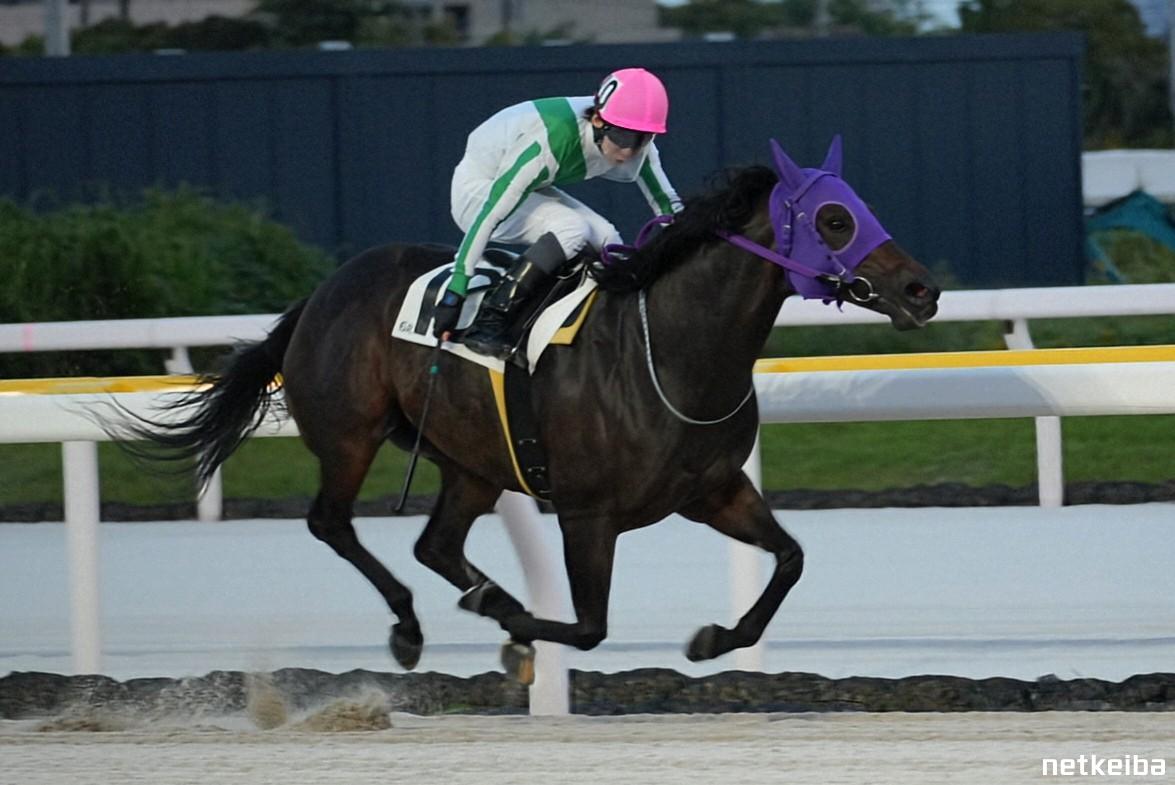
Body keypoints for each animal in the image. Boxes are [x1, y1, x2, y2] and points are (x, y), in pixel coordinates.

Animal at [121, 137, 940, 682]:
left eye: (860, 210)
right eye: (834, 220)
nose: (921, 290)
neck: (673, 352)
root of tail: (319, 294)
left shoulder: (712, 489)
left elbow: (791, 559)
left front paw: (711, 638)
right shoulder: (587, 513)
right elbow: (589, 626)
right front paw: (519, 628)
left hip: (471, 462)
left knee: (435, 545)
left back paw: (484, 599)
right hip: (350, 435)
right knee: (333, 523)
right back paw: (416, 624)